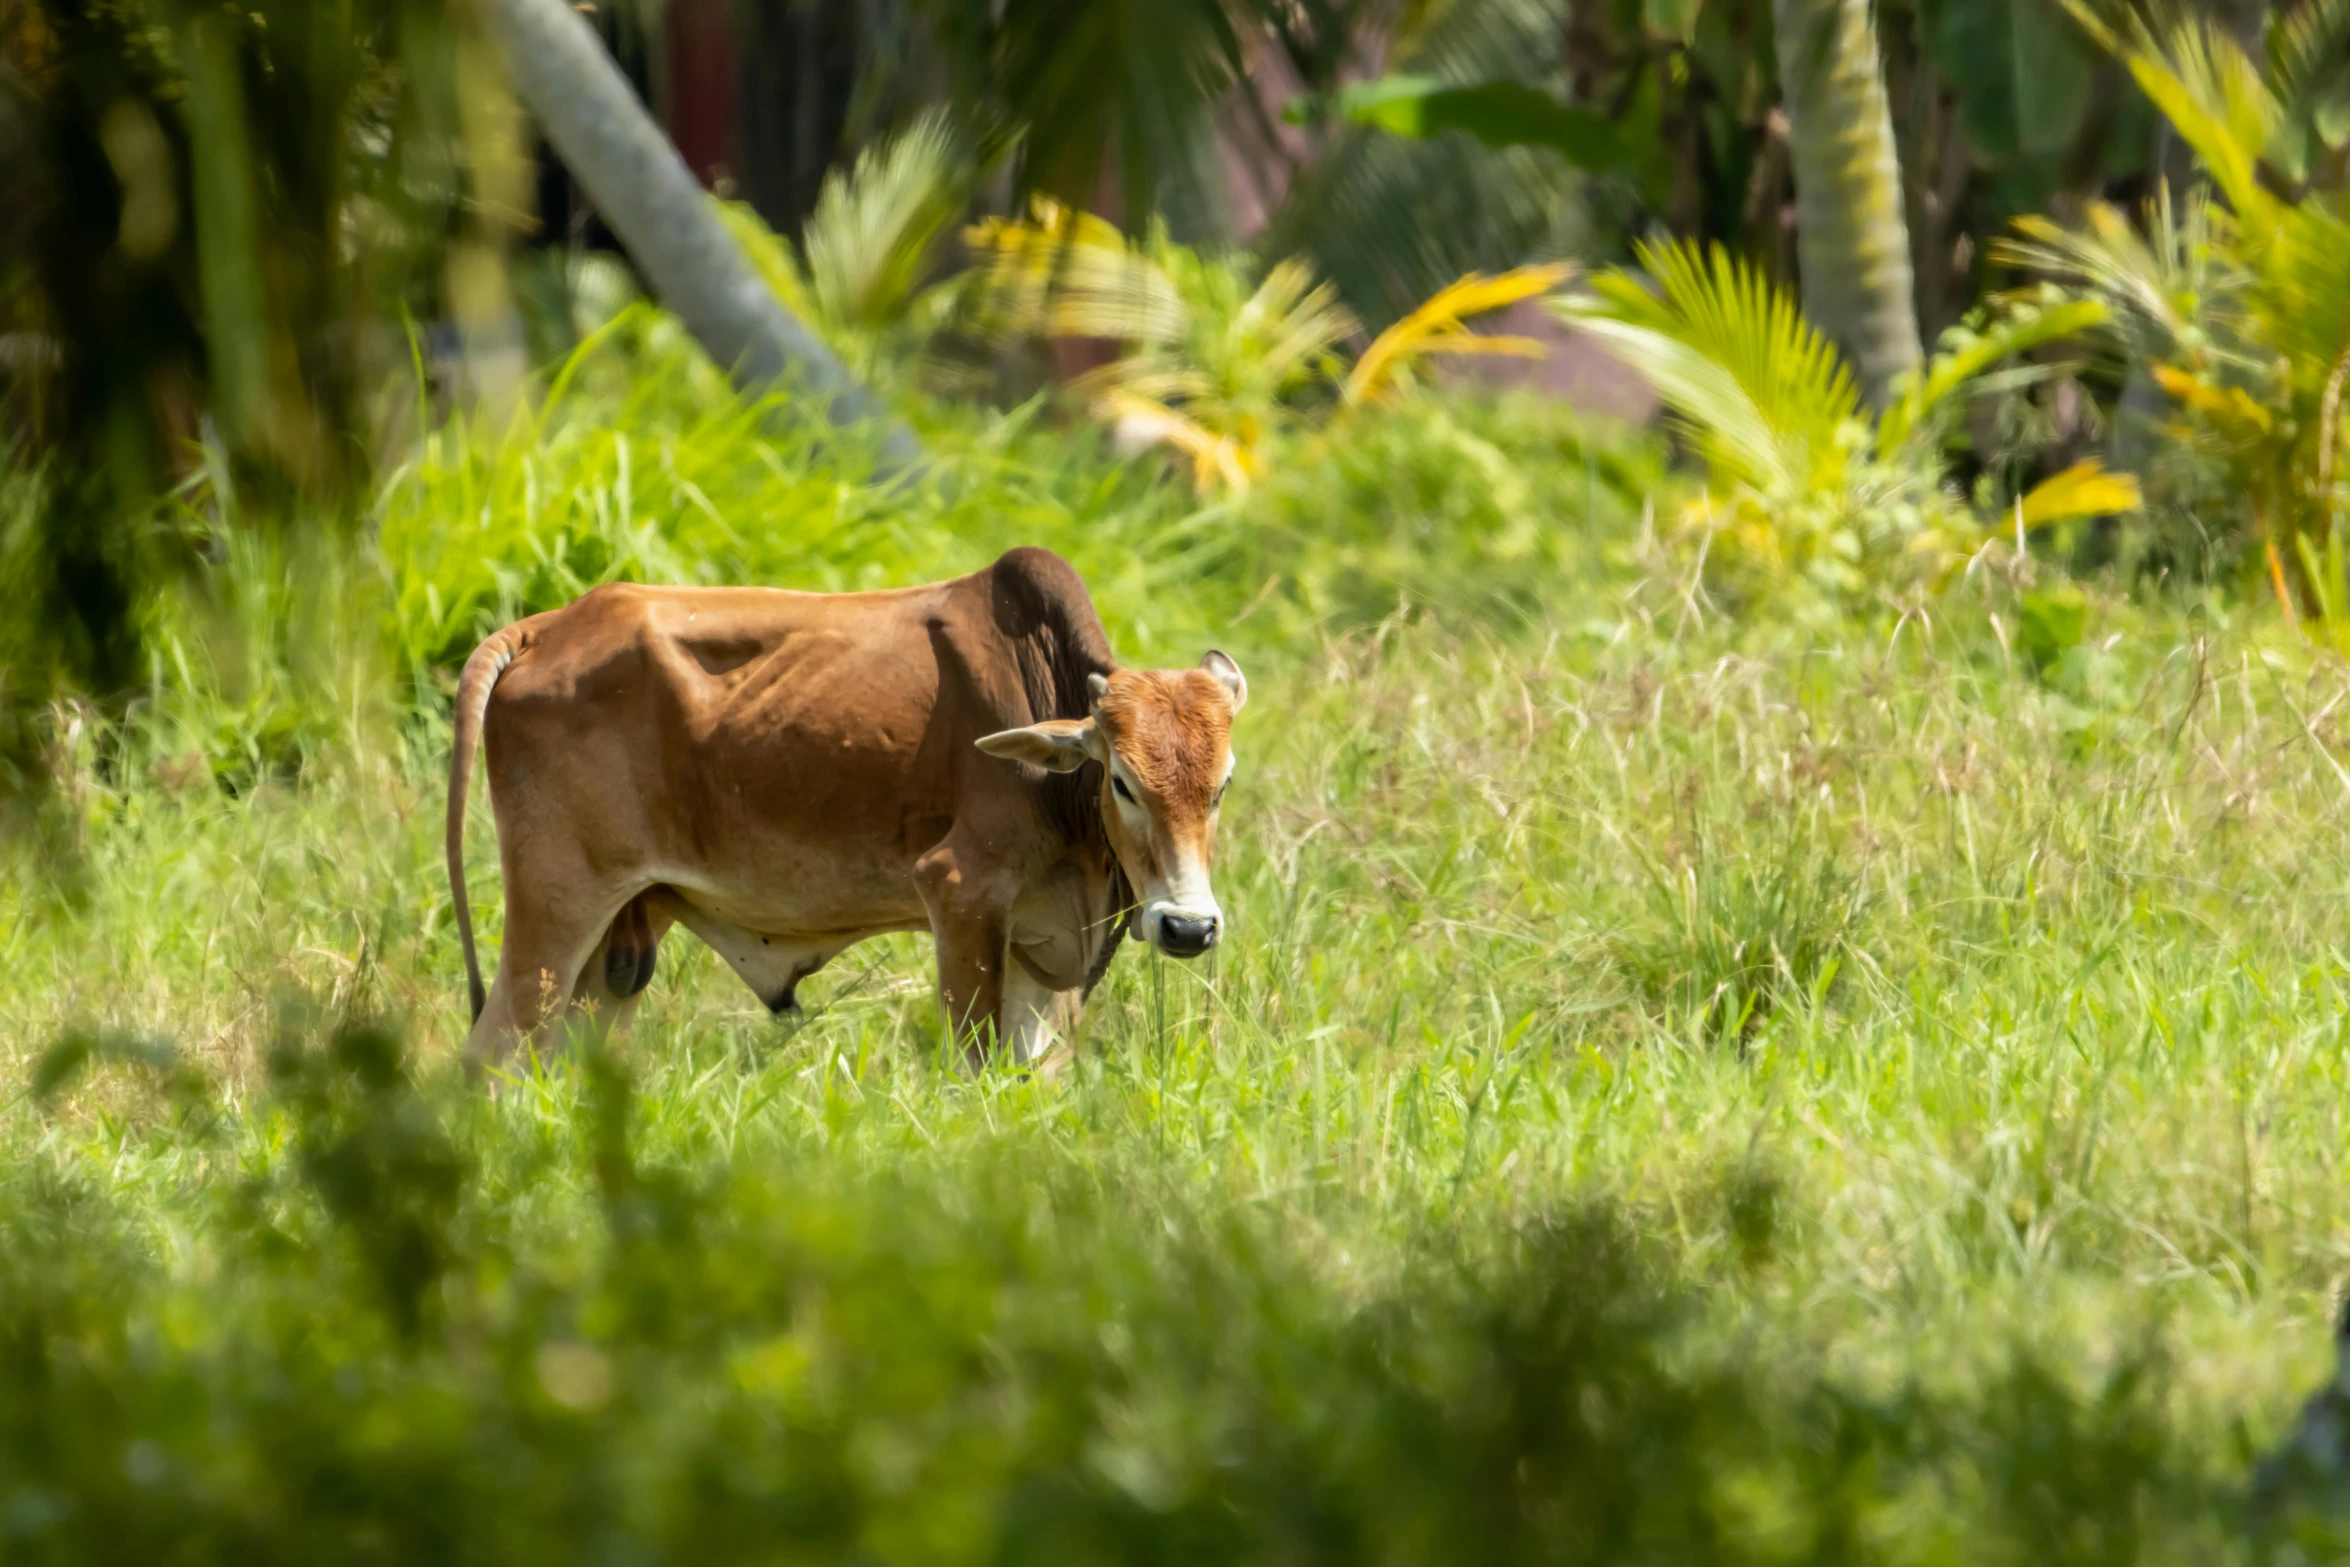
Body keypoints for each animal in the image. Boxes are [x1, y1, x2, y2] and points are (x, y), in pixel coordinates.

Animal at [444, 545, 1250, 1071]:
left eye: (1221, 785)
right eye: (1122, 781)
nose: (1188, 926)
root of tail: (544, 627)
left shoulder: (1039, 949)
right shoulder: (961, 893)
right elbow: (974, 1068)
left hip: (620, 936)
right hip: (557, 903)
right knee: (491, 1053)